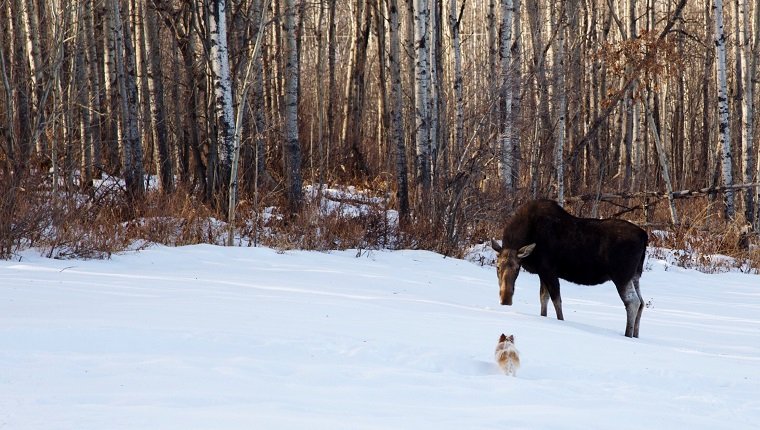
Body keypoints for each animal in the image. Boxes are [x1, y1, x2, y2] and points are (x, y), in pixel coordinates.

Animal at [492, 200, 648, 338]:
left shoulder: (549, 270)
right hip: (635, 275)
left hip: (622, 275)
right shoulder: (542, 272)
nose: (505, 299)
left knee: (633, 302)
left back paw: (627, 335)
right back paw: (635, 335)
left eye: (517, 268)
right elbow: (544, 299)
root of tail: (644, 236)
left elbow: (557, 301)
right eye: (497, 266)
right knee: (641, 302)